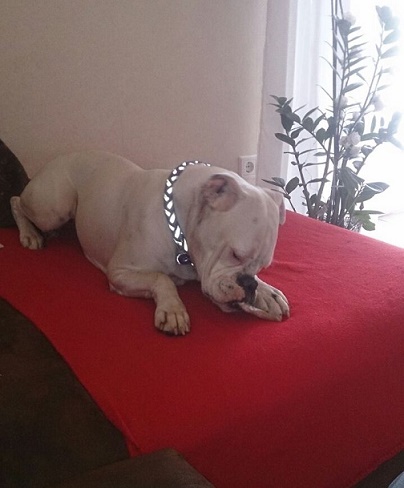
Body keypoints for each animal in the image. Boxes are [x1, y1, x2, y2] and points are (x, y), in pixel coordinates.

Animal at [10, 151, 289, 335]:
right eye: (235, 254)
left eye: (261, 267)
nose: (249, 284)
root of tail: (56, 159)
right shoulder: (121, 272)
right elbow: (161, 278)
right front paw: (173, 310)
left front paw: (267, 292)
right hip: (53, 207)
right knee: (16, 201)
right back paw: (30, 234)